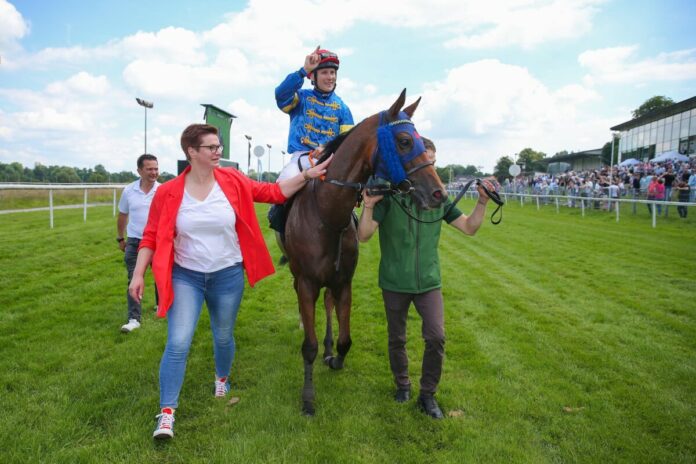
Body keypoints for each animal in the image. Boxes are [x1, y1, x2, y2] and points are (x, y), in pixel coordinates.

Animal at [282, 89, 446, 416]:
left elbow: (345, 339)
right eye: (404, 141)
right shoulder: (306, 282)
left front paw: (334, 358)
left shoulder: (343, 281)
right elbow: (309, 346)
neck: (328, 215)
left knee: (328, 305)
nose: (439, 193)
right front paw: (308, 399)